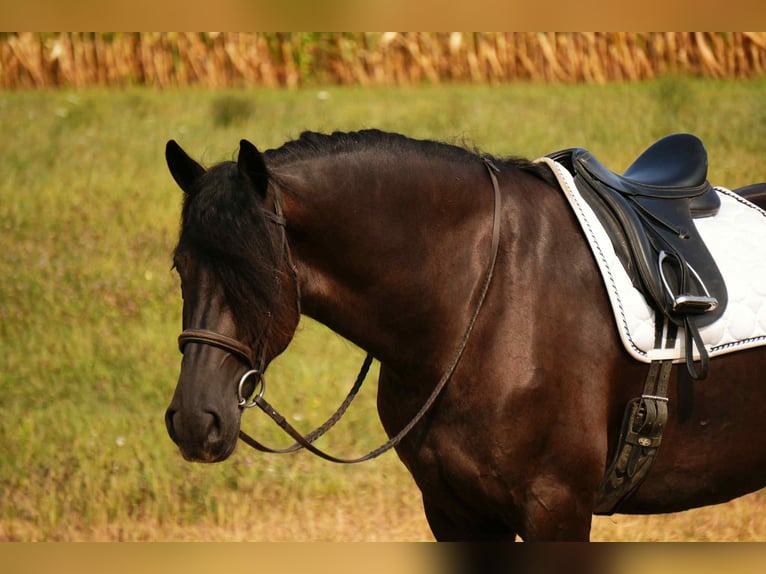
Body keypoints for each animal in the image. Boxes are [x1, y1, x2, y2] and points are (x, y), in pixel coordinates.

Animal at [163, 129, 766, 541]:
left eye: (256, 272)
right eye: (180, 267)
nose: (194, 420)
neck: (485, 302)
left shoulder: (557, 509)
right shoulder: (454, 511)